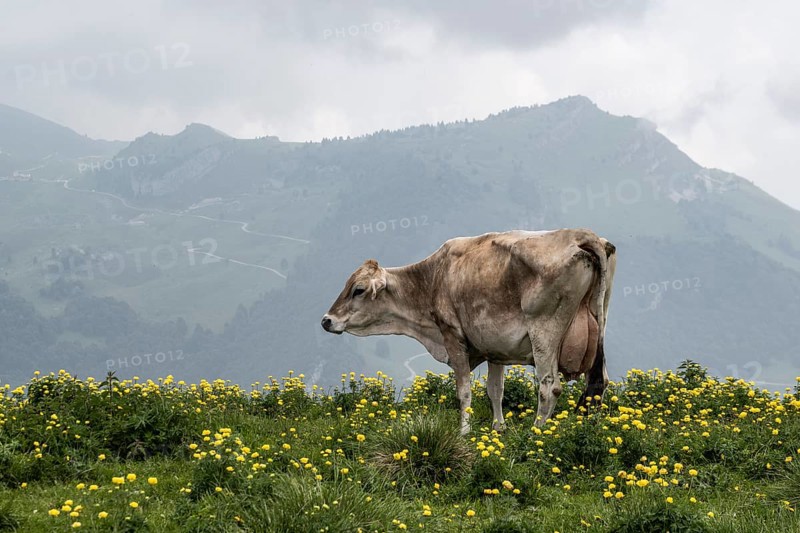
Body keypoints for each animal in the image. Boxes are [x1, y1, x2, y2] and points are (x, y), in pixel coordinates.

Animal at [321, 228, 616, 435]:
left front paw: (464, 432)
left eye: (358, 289)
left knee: (549, 387)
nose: (326, 320)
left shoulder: (453, 337)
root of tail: (581, 234)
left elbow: (463, 392)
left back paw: (536, 433)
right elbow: (495, 389)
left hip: (545, 332)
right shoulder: (496, 348)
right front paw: (498, 429)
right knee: (598, 382)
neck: (432, 278)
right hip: (599, 318)